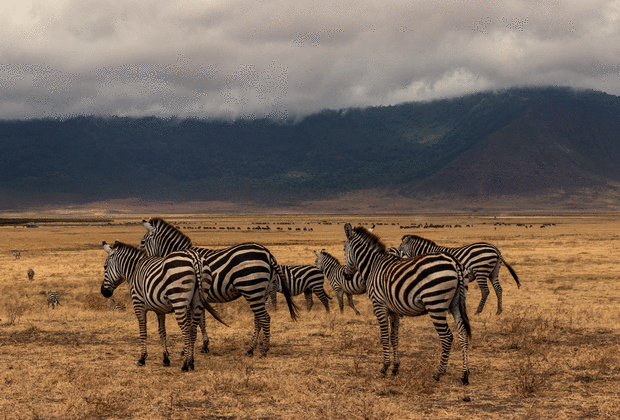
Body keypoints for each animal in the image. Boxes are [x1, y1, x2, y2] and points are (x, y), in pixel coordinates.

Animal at [101, 240, 228, 370]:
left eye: (105, 267)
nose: (104, 292)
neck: (134, 270)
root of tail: (194, 258)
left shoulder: (138, 304)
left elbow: (143, 331)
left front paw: (142, 358)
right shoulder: (160, 309)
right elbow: (162, 332)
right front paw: (166, 359)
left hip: (179, 300)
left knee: (186, 330)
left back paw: (185, 364)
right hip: (198, 299)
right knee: (193, 330)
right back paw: (191, 362)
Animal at [139, 217, 300, 358]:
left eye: (142, 243)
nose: (145, 264)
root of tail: (267, 253)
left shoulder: (186, 295)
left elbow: (191, 322)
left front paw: (186, 349)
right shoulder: (198, 298)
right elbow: (201, 321)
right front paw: (204, 345)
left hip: (251, 288)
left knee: (264, 318)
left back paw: (263, 351)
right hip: (262, 292)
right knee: (258, 320)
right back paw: (250, 349)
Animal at [344, 223, 470, 384]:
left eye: (344, 249)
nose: (346, 275)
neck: (372, 266)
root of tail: (454, 262)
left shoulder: (379, 306)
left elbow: (384, 336)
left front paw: (384, 368)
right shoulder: (394, 310)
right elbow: (394, 337)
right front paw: (395, 368)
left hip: (435, 304)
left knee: (447, 337)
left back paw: (439, 373)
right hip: (456, 304)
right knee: (463, 333)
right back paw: (465, 374)